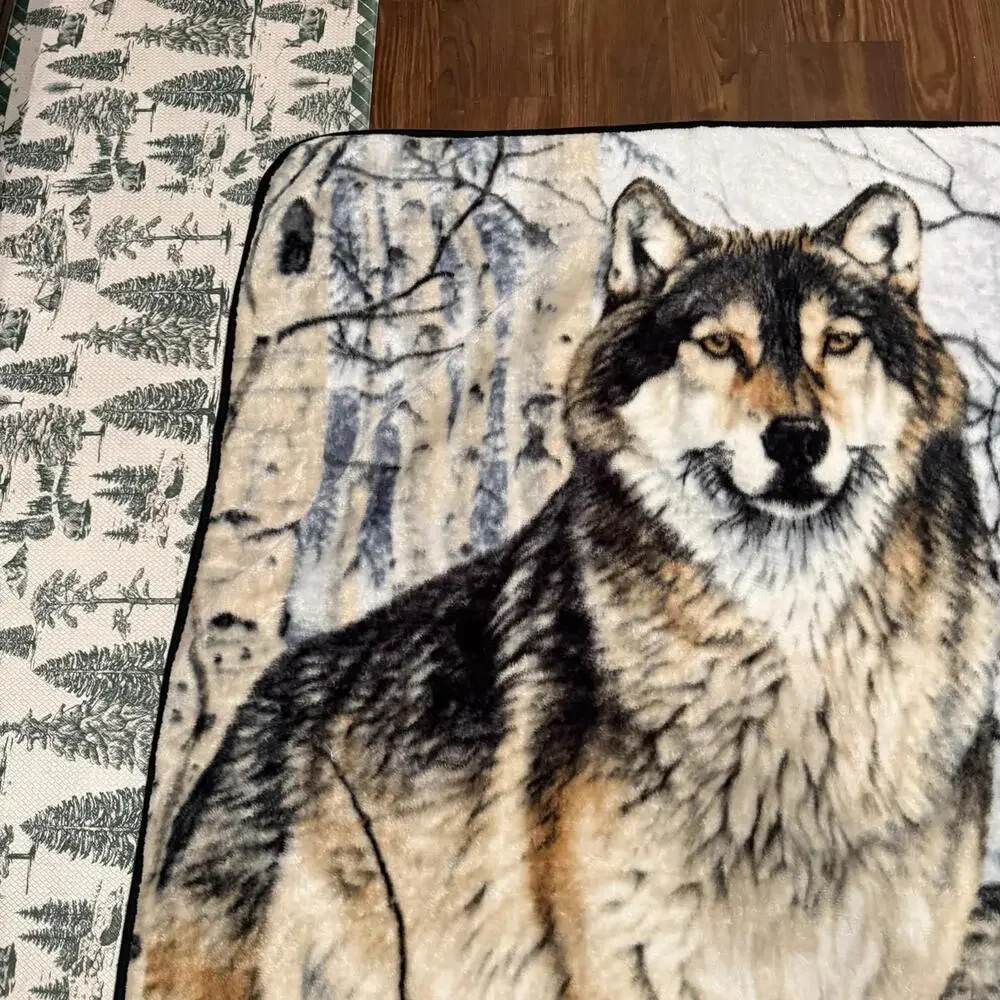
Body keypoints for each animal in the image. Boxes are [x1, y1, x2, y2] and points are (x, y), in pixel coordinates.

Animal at [140, 178, 1000, 1000]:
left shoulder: (905, 961)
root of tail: (248, 721)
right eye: (719, 344)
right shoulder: (627, 956)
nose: (797, 438)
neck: (794, 665)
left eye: (841, 342)